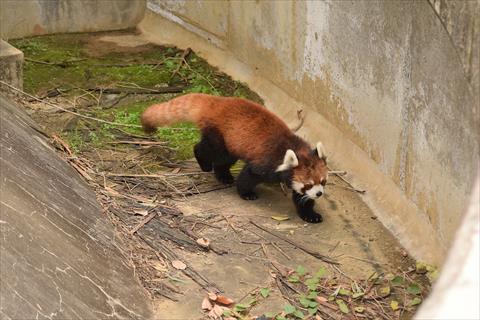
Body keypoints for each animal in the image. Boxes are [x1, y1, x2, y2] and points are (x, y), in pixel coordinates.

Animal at [141, 92, 328, 222]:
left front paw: (310, 214)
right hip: (219, 136)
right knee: (208, 150)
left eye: (322, 181)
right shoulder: (266, 162)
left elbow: (301, 198)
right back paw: (205, 164)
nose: (319, 193)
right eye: (308, 184)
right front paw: (246, 193)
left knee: (224, 161)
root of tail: (218, 102)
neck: (293, 147)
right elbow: (249, 175)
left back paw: (224, 176)